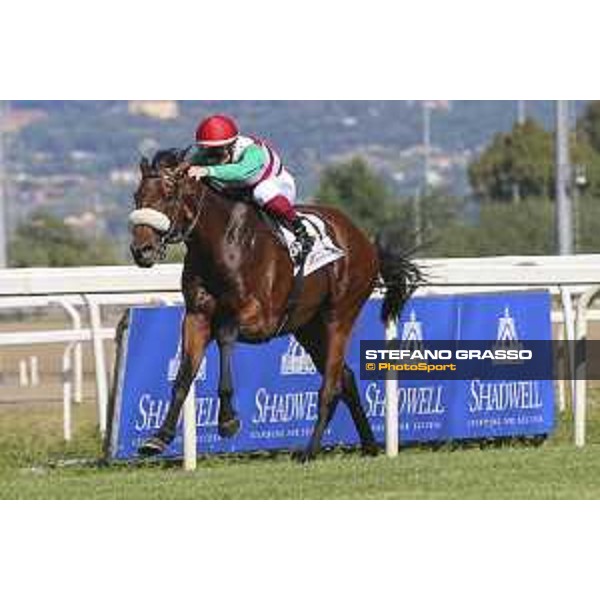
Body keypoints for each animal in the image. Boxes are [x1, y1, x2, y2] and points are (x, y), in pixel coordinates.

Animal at [130, 149, 422, 460]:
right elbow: (183, 376)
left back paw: (309, 452)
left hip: (340, 315)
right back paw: (368, 445)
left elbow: (225, 334)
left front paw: (228, 420)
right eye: (137, 196)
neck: (222, 242)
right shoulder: (197, 315)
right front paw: (158, 438)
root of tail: (364, 241)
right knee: (346, 378)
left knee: (330, 386)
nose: (141, 250)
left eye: (168, 194)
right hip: (308, 328)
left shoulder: (261, 318)